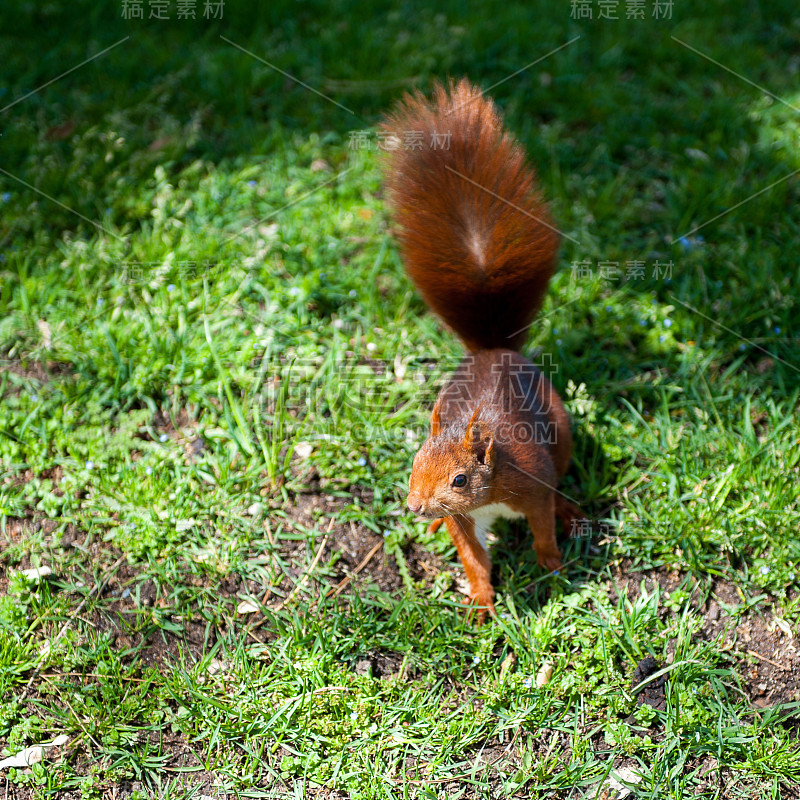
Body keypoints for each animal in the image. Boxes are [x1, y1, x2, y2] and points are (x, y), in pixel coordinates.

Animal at [382, 79, 580, 620]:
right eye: (413, 463)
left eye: (460, 481)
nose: (416, 506)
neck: (488, 495)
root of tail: (494, 351)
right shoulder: (464, 522)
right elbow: (473, 557)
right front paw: (481, 600)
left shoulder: (531, 484)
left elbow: (541, 528)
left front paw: (552, 564)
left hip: (561, 432)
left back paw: (570, 509)